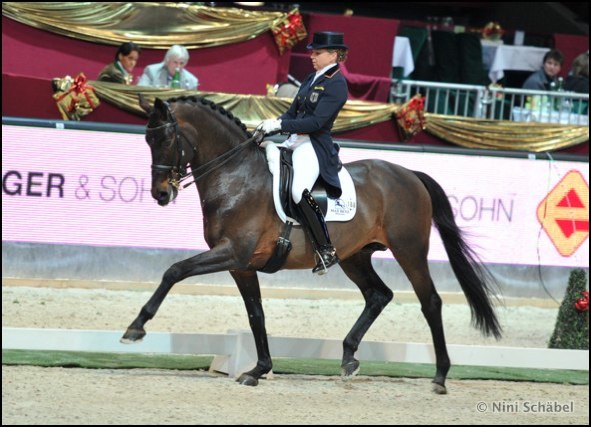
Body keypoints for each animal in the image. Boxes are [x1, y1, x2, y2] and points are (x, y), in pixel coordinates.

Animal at [122, 96, 502, 394]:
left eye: (166, 138)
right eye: (147, 139)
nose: (160, 194)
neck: (236, 176)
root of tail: (409, 174)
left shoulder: (232, 252)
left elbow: (175, 270)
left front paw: (135, 327)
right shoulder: (241, 265)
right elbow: (256, 314)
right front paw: (258, 370)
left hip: (409, 250)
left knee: (430, 302)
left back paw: (439, 377)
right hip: (354, 257)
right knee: (378, 295)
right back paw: (348, 358)